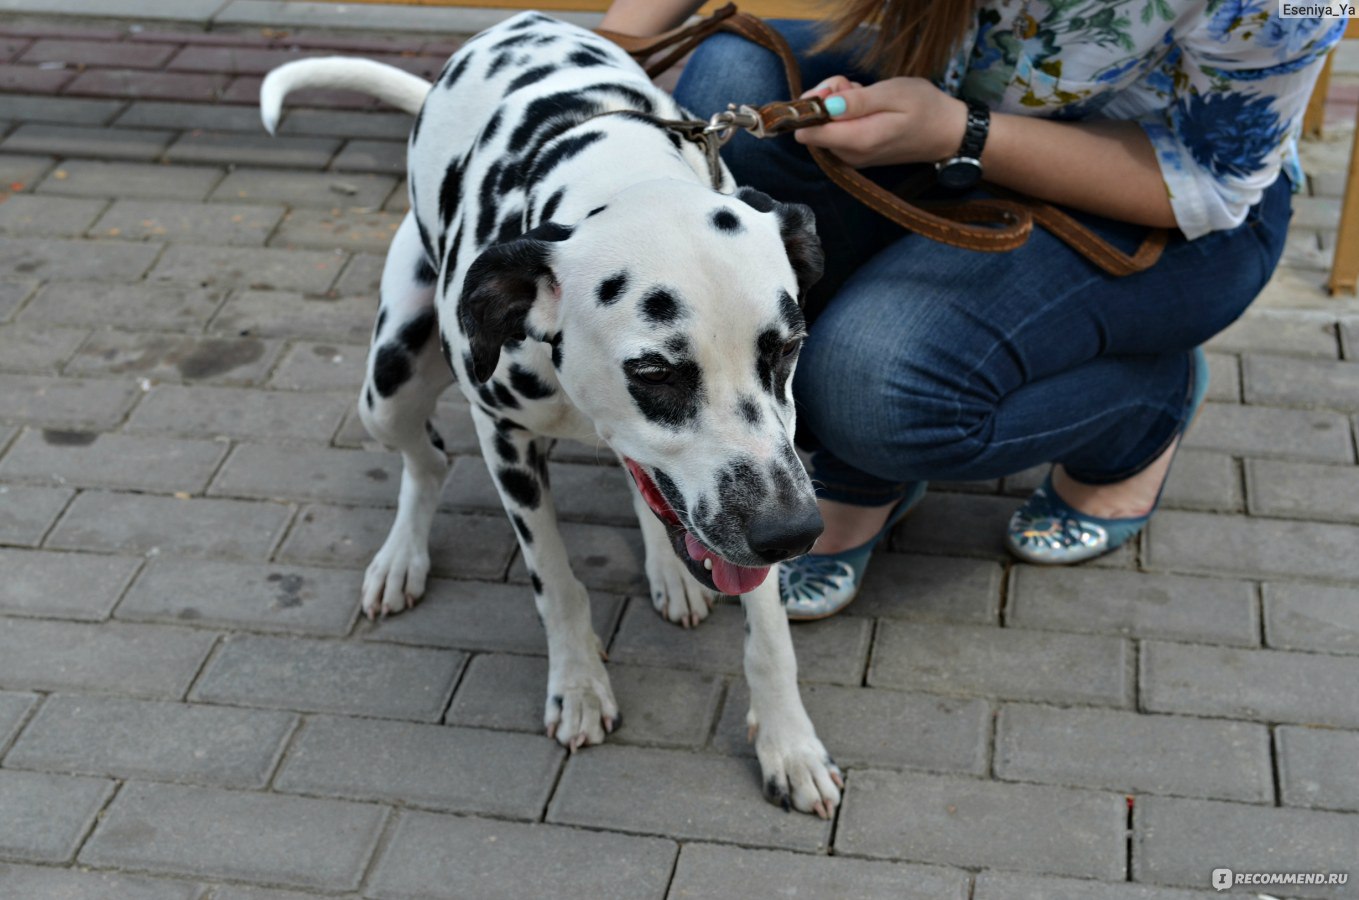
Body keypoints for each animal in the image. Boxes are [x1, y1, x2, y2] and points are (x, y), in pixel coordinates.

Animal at [259, 10, 837, 821]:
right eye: (655, 372)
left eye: (786, 349)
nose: (791, 534)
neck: (618, 170)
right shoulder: (504, 441)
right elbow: (556, 584)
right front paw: (580, 686)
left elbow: (768, 631)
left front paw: (789, 742)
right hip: (390, 381)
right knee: (425, 460)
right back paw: (401, 558)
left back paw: (671, 571)